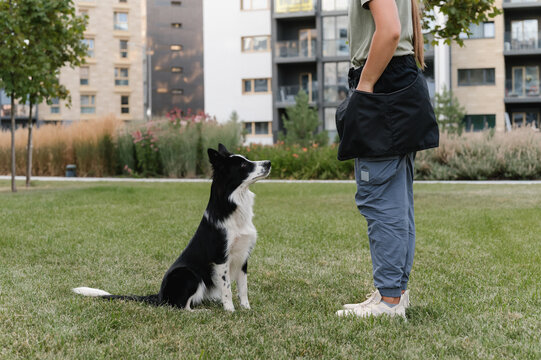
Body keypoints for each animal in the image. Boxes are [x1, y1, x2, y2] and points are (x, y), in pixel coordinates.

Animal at [73, 144, 270, 312]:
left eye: (246, 159)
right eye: (243, 164)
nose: (268, 163)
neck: (232, 204)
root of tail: (160, 296)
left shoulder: (243, 257)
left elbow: (243, 287)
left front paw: (246, 308)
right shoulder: (220, 258)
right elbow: (227, 288)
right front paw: (230, 310)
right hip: (188, 274)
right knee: (181, 306)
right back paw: (202, 311)